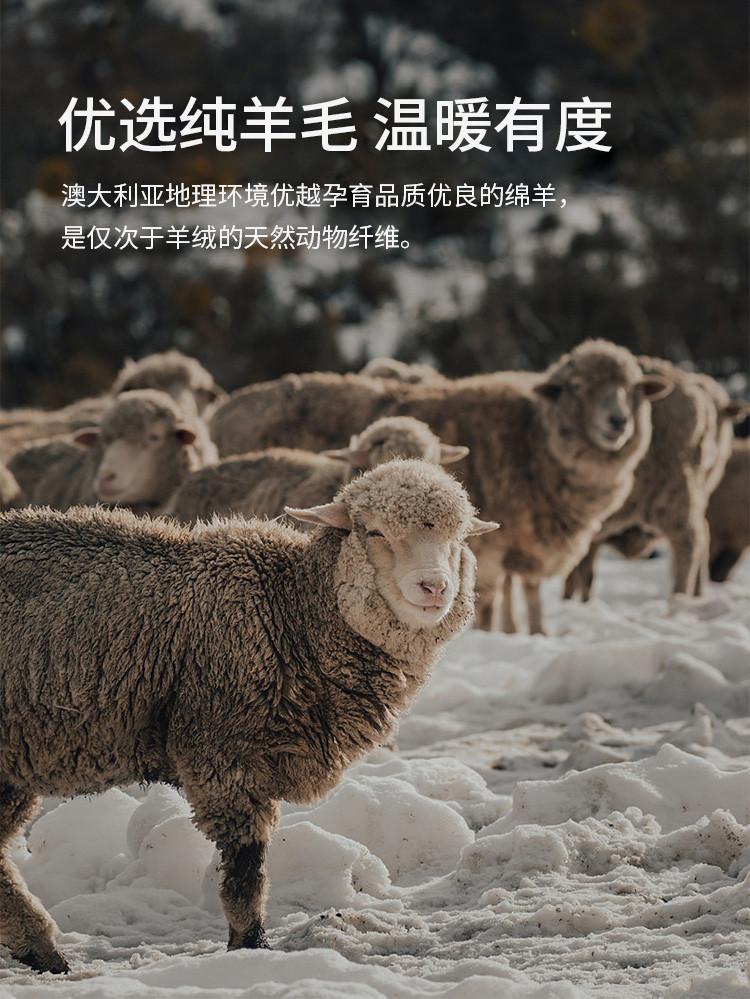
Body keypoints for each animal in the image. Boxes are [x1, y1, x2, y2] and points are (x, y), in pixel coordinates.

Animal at [0, 459, 498, 972]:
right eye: (374, 531)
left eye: (459, 538)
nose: (434, 587)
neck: (292, 613)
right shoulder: (221, 757)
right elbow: (246, 871)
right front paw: (250, 948)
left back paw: (40, 948)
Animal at [209, 340, 670, 633]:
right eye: (576, 387)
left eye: (633, 390)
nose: (618, 423)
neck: (532, 437)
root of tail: (227, 406)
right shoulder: (497, 547)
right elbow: (496, 594)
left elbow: (525, 590)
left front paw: (532, 633)